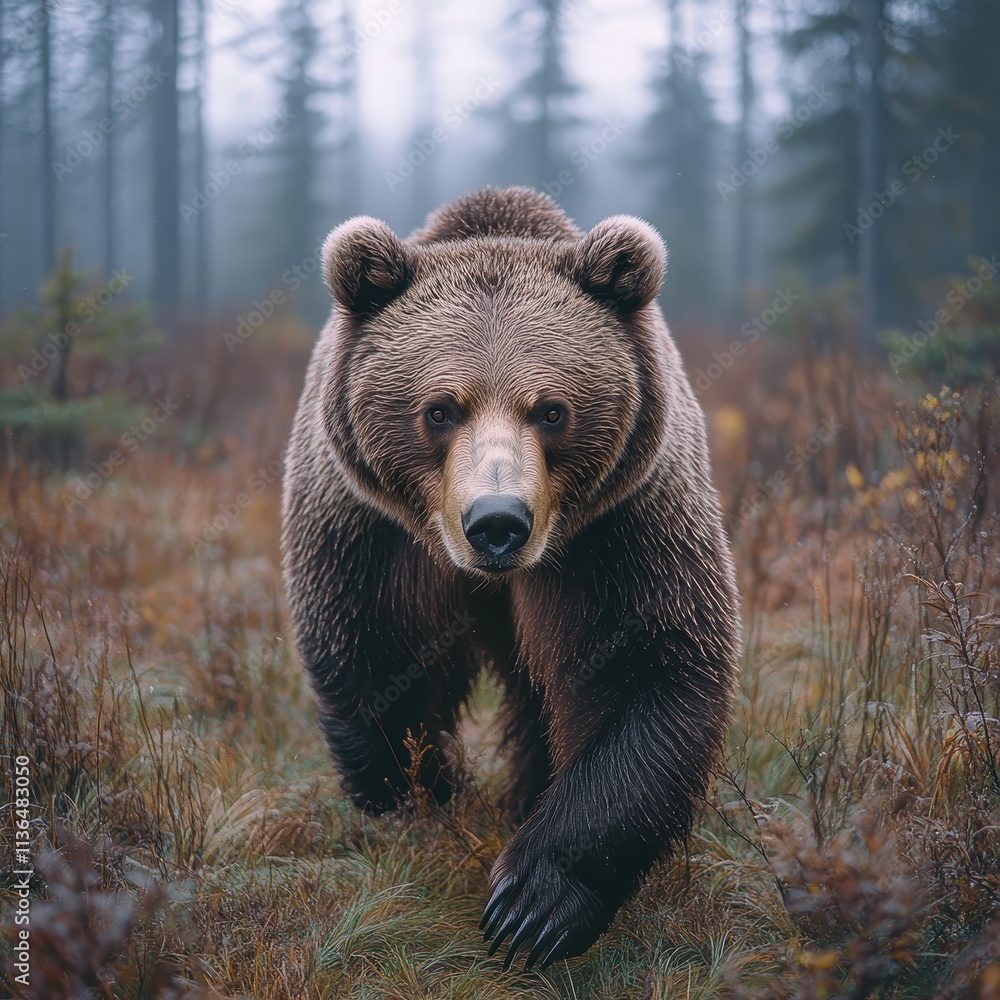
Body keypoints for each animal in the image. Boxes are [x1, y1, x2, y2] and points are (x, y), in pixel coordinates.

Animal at [281, 186, 741, 971]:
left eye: (552, 410)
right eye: (439, 408)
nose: (497, 521)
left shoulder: (618, 532)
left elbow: (647, 666)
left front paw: (533, 905)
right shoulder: (370, 531)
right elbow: (376, 655)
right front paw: (421, 800)